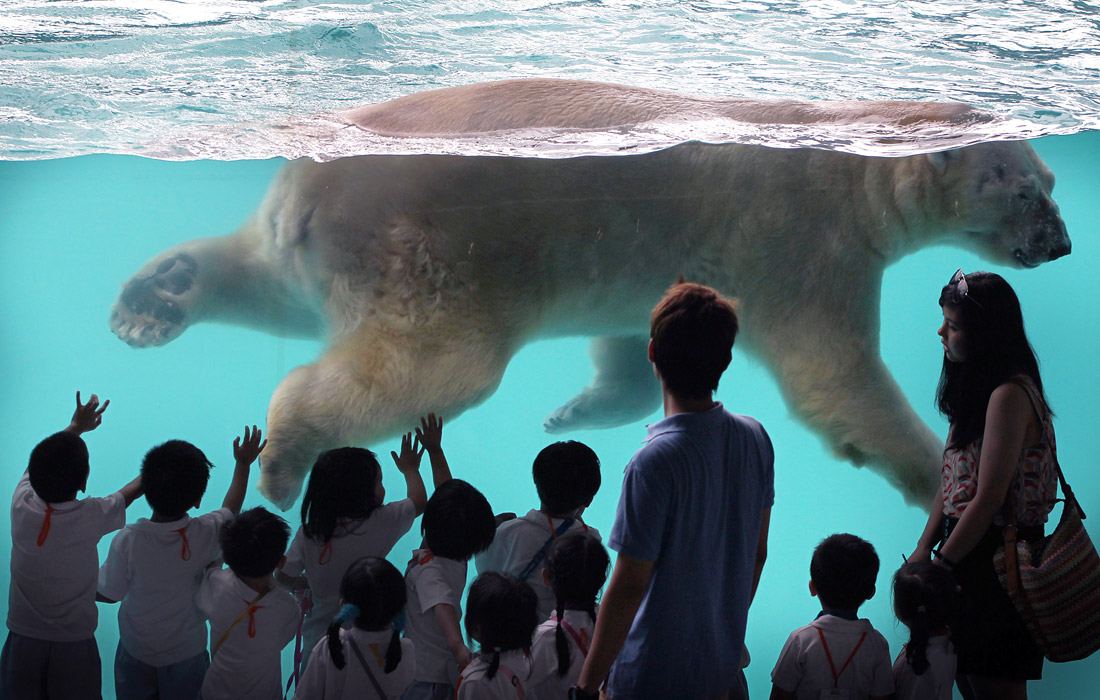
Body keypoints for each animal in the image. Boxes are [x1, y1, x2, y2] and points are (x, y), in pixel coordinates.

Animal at [109, 79, 1071, 510]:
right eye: (1027, 188)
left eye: (1051, 180)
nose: (1063, 245)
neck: (851, 157)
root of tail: (309, 191)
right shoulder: (805, 247)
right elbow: (836, 380)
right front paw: (933, 475)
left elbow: (638, 347)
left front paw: (576, 409)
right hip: (431, 255)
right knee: (432, 366)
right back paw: (281, 459)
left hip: (320, 244)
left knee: (268, 279)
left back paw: (154, 299)